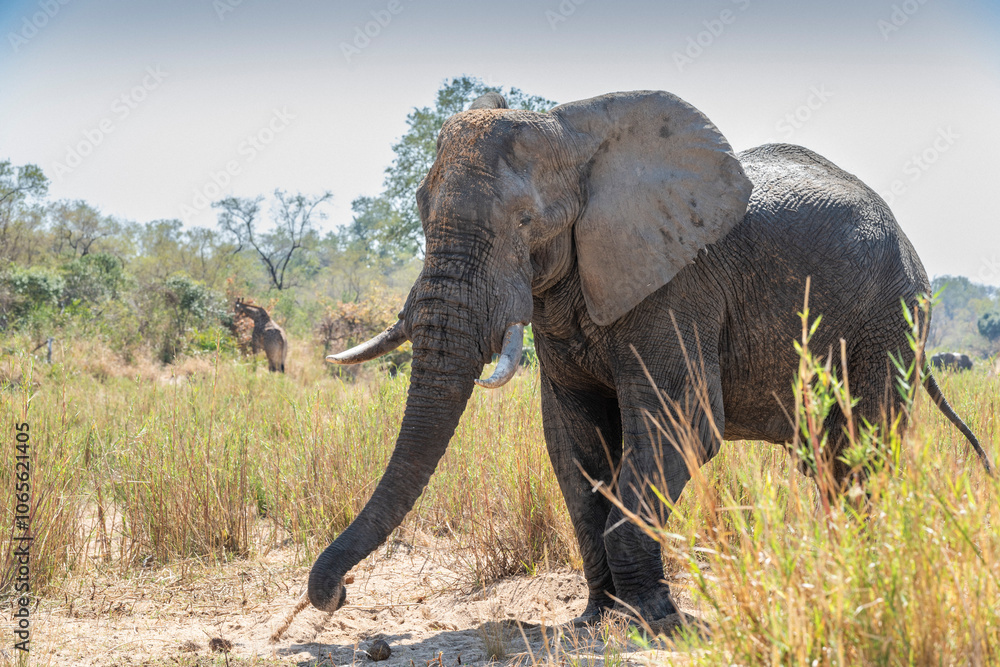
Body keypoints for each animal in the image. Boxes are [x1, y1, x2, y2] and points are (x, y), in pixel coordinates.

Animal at [308, 91, 992, 623]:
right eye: (421, 210)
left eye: (526, 221)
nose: (337, 594)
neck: (575, 138)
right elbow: (573, 437)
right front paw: (597, 617)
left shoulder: (677, 285)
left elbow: (680, 422)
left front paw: (655, 620)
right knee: (825, 458)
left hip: (890, 323)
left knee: (857, 451)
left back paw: (855, 575)